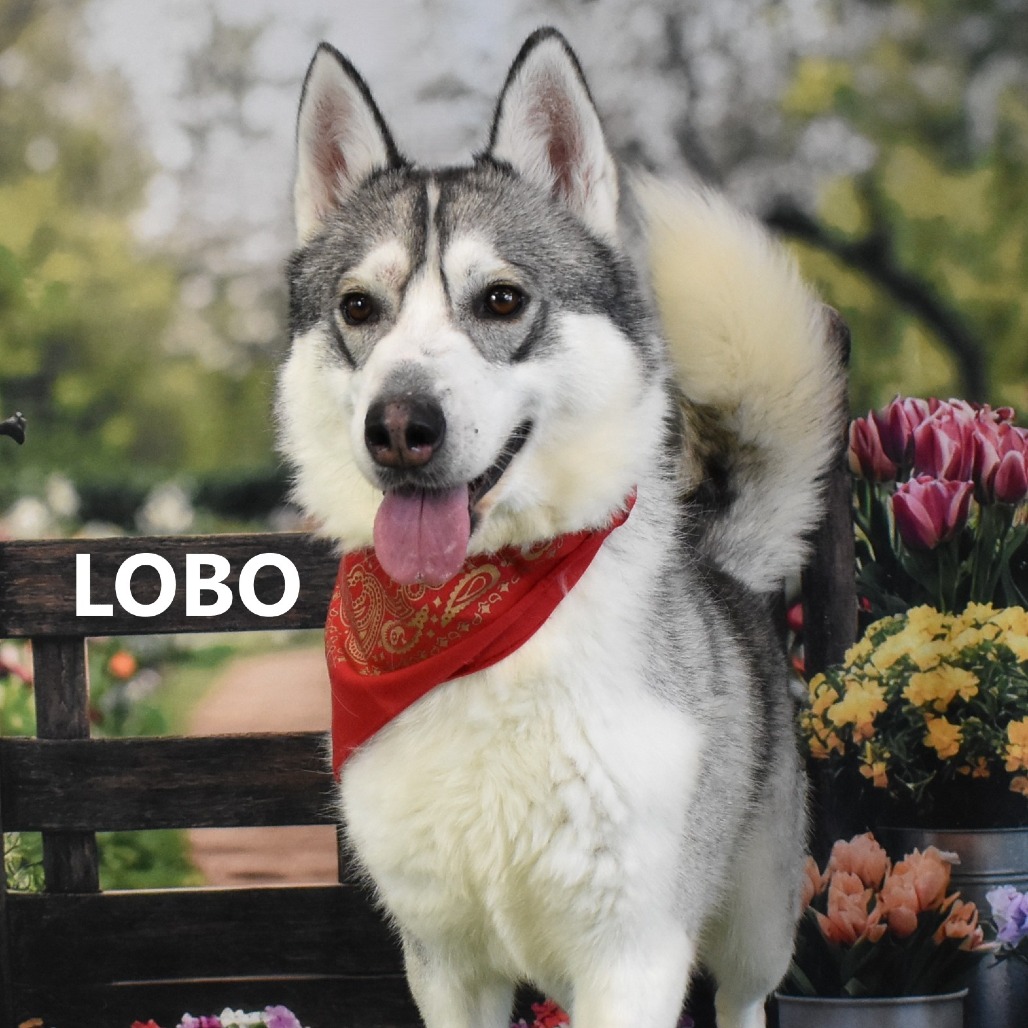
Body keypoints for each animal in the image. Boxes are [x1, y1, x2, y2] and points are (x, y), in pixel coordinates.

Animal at [277, 26, 845, 1028]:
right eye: (358, 308)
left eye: (501, 300)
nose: (399, 424)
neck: (484, 627)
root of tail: (721, 569)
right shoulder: (445, 964)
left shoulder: (633, 956)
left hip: (756, 927)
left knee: (746, 997)